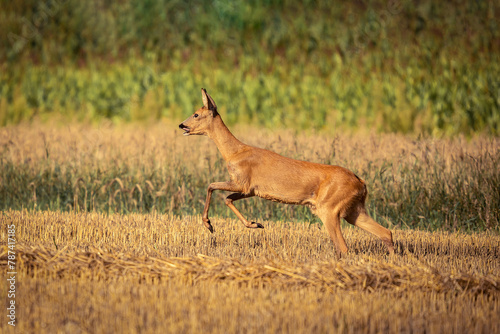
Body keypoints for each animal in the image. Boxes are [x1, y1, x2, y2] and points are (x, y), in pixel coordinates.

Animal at [179, 87, 394, 254]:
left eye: (196, 114)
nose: (182, 125)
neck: (234, 152)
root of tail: (361, 183)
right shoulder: (251, 190)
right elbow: (227, 198)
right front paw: (254, 224)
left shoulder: (242, 182)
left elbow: (211, 186)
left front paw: (208, 225)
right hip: (353, 209)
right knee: (386, 233)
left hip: (329, 208)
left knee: (343, 247)